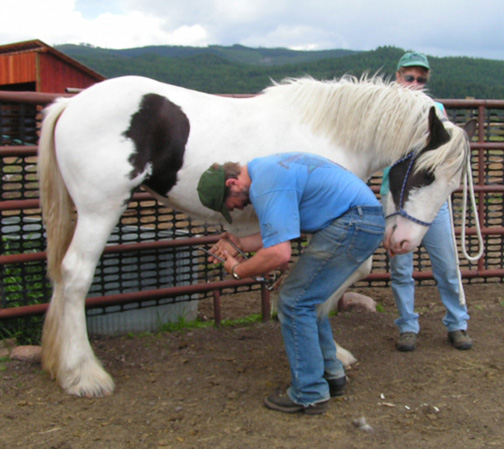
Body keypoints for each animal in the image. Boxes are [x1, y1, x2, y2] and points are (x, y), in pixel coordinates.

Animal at [37, 74, 474, 396]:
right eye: (425, 174)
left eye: (453, 186)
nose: (403, 242)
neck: (329, 133)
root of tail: (72, 104)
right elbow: (332, 280)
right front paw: (326, 348)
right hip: (99, 210)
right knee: (75, 277)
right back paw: (83, 375)